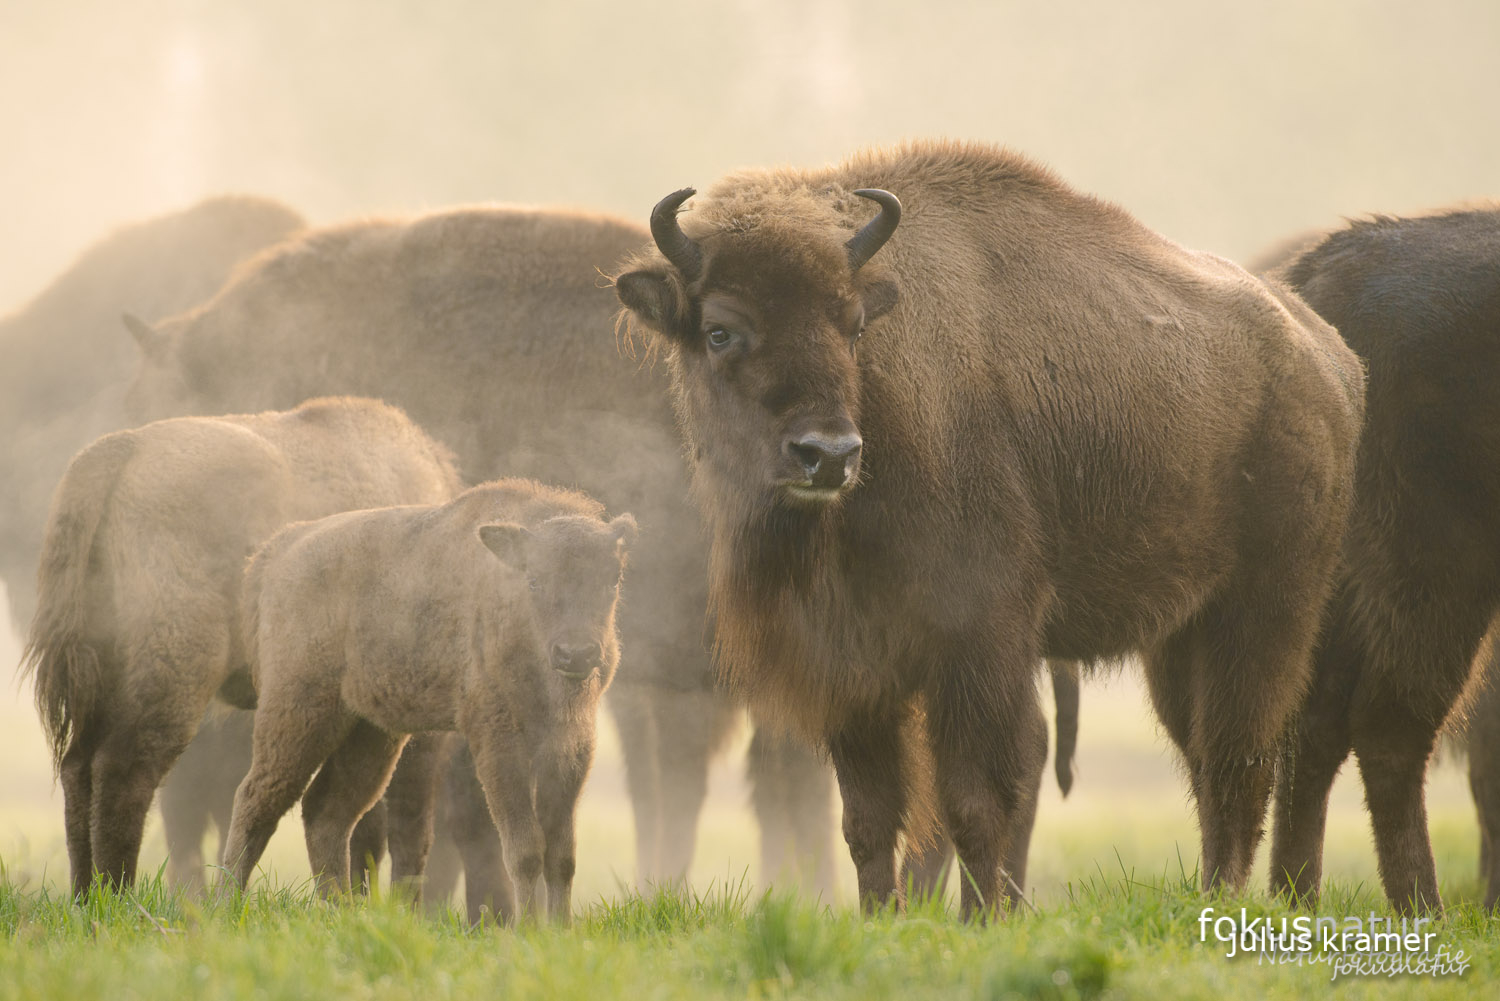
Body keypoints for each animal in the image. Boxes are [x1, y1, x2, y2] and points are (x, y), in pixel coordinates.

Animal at [20, 396, 456, 894]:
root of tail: (122, 449)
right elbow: (405, 825)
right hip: (175, 676)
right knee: (122, 771)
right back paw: (119, 896)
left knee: (78, 769)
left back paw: (86, 896)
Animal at [225, 480, 636, 930]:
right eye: (534, 580)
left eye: (614, 579)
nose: (575, 654)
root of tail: (277, 551)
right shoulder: (497, 742)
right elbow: (526, 849)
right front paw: (528, 929)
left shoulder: (572, 747)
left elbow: (562, 855)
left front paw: (560, 930)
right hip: (298, 714)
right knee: (256, 799)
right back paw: (224, 904)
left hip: (371, 734)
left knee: (327, 813)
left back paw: (343, 912)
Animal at [612, 138, 1374, 918]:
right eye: (719, 330)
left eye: (853, 326)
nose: (828, 454)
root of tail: (1330, 361)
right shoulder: (856, 668)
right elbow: (868, 817)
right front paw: (882, 917)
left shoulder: (979, 644)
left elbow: (975, 799)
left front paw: (983, 921)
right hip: (1178, 638)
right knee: (1204, 756)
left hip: (1263, 614)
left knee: (1236, 760)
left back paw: (1216, 900)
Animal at [1266, 205, 1500, 918]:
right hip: (1437, 569)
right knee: (1389, 727)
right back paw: (1426, 910)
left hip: (1345, 581)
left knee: (1313, 724)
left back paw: (1296, 897)